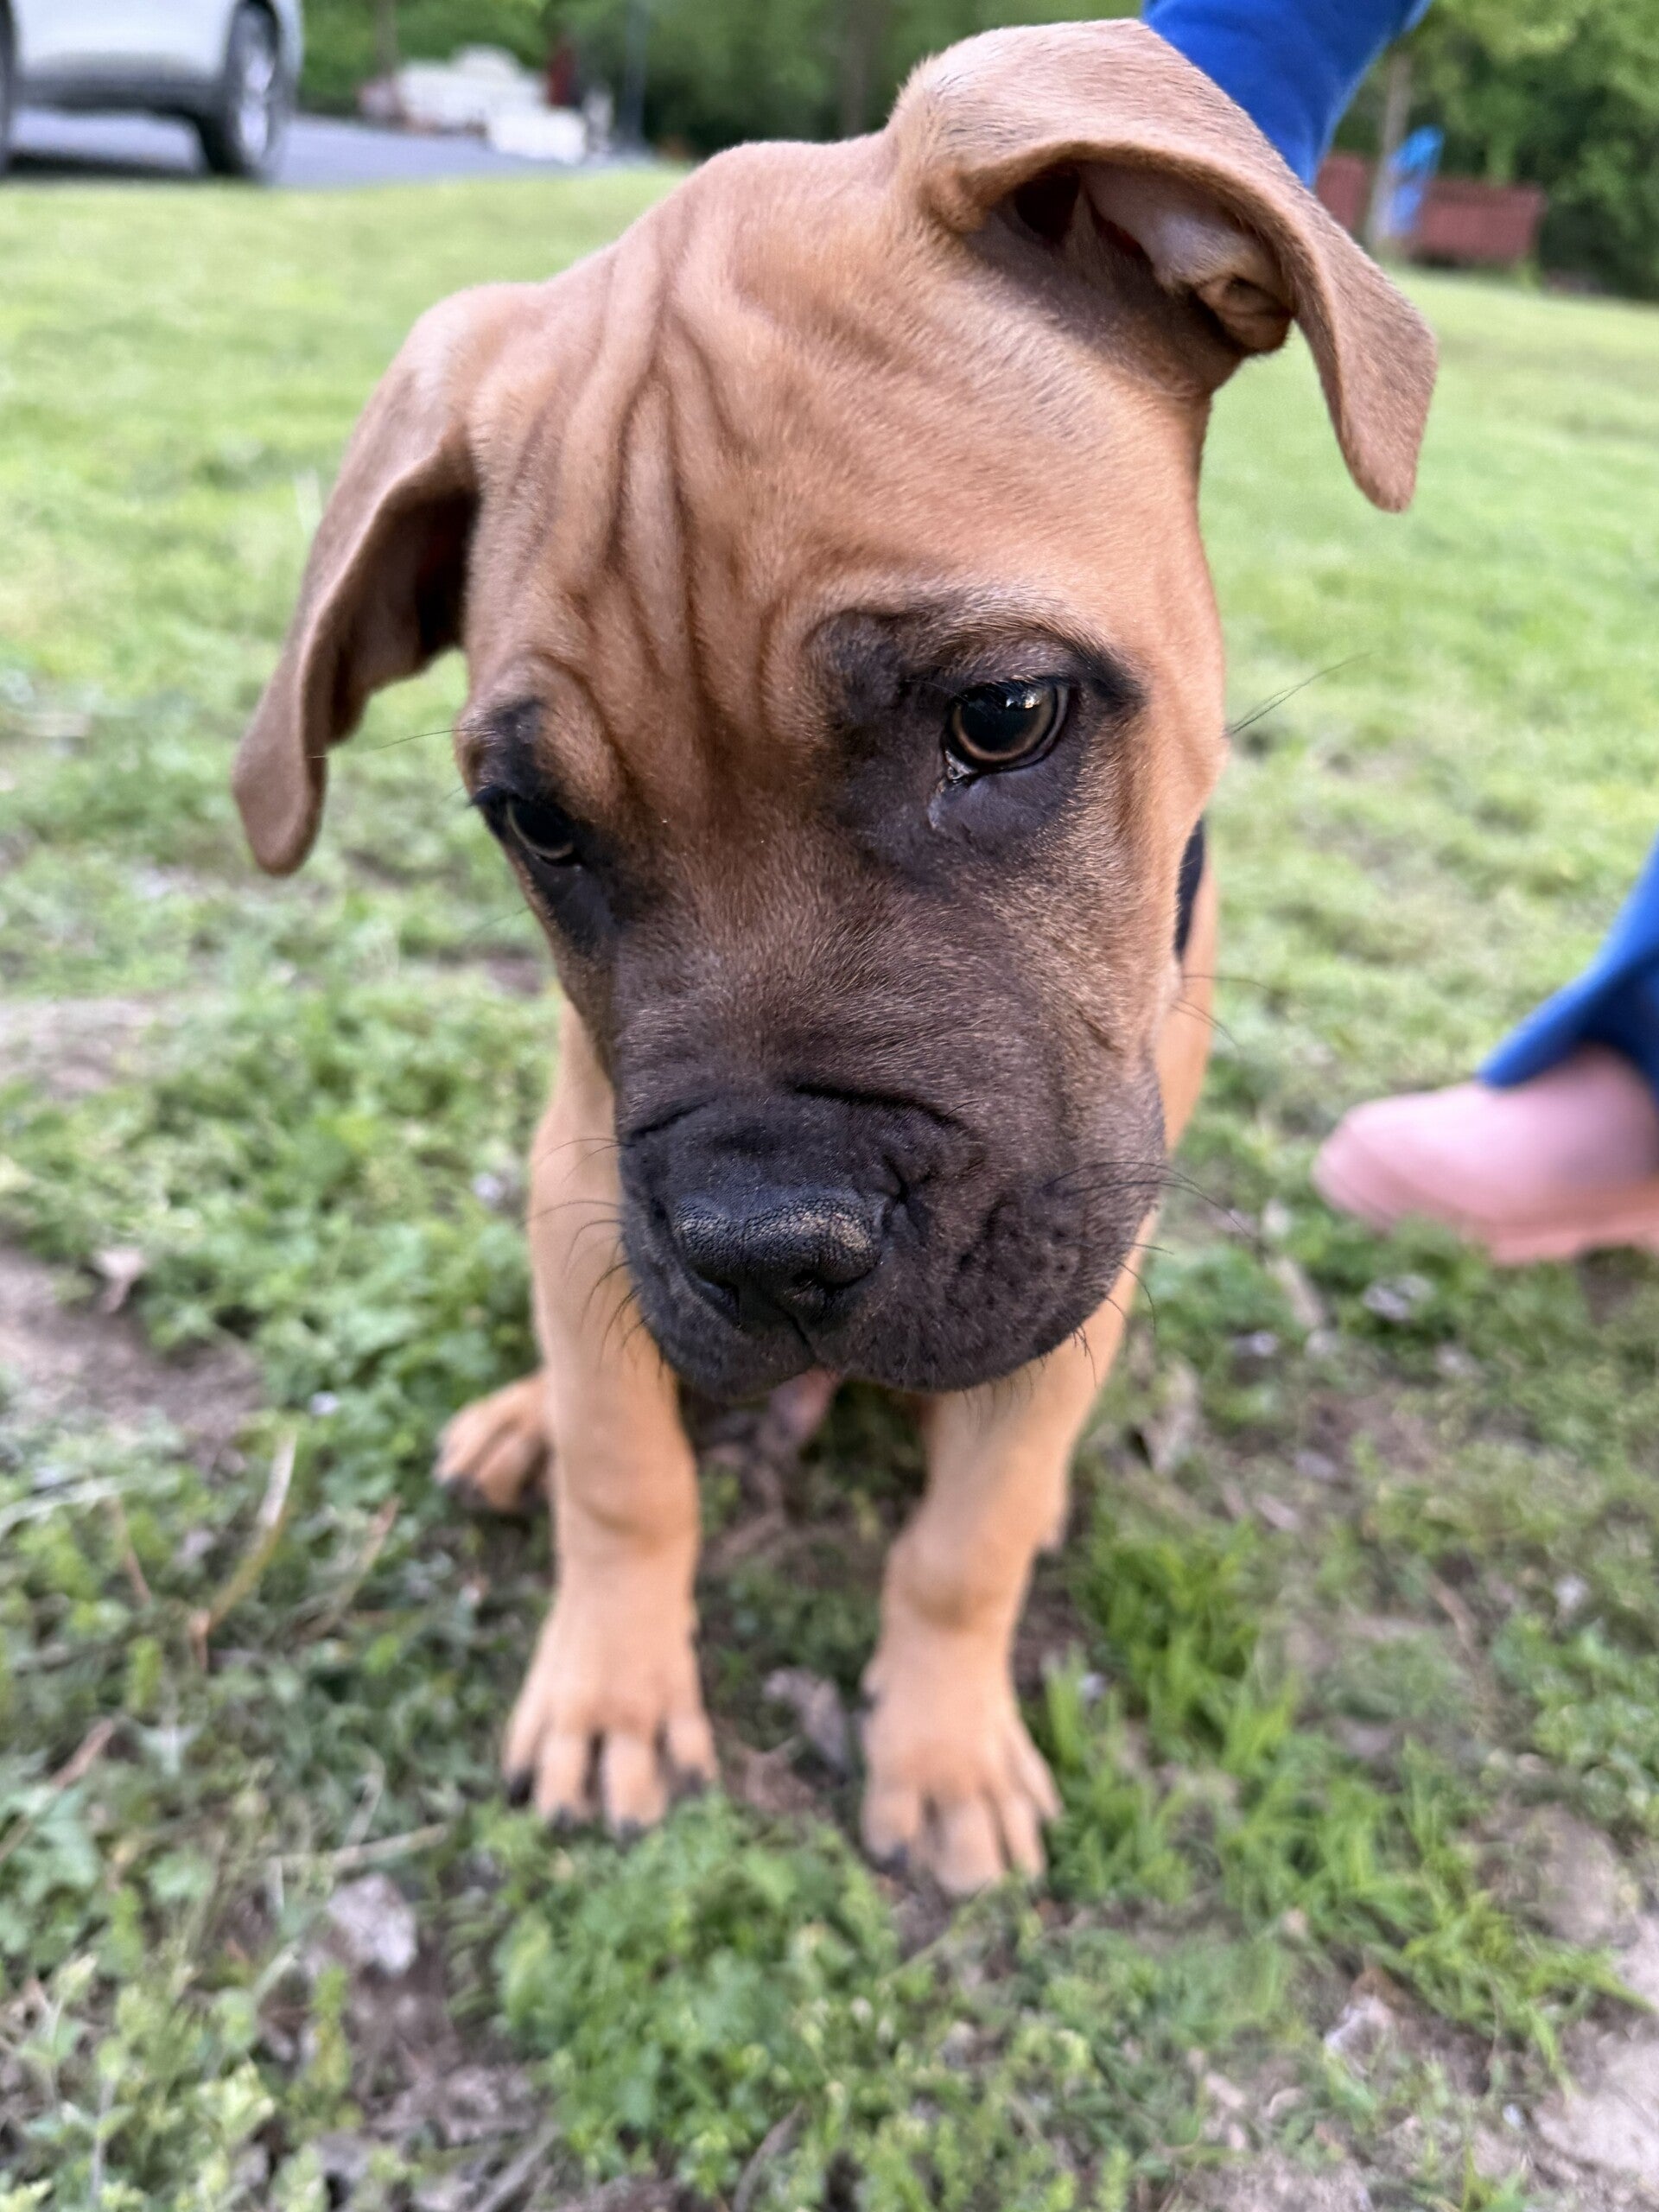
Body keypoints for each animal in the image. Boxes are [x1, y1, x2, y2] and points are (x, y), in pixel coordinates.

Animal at [233, 21, 1433, 1894]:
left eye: (1003, 715)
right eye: (533, 821)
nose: (768, 1253)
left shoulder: (1078, 1241)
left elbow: (967, 1540)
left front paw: (940, 1746)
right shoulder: (585, 1170)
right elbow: (628, 1472)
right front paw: (612, 1686)